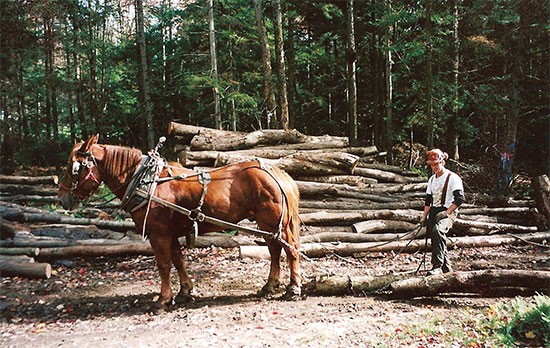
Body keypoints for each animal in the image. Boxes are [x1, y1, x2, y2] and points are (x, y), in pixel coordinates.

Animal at [58, 135, 304, 308]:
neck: (146, 182)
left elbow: (164, 265)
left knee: (290, 250)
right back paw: (270, 286)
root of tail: (278, 173)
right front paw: (185, 291)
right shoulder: (170, 233)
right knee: (274, 251)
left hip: (277, 224)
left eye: (73, 167)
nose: (62, 198)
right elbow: (178, 261)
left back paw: (293, 288)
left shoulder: (158, 234)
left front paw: (163, 299)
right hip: (268, 225)